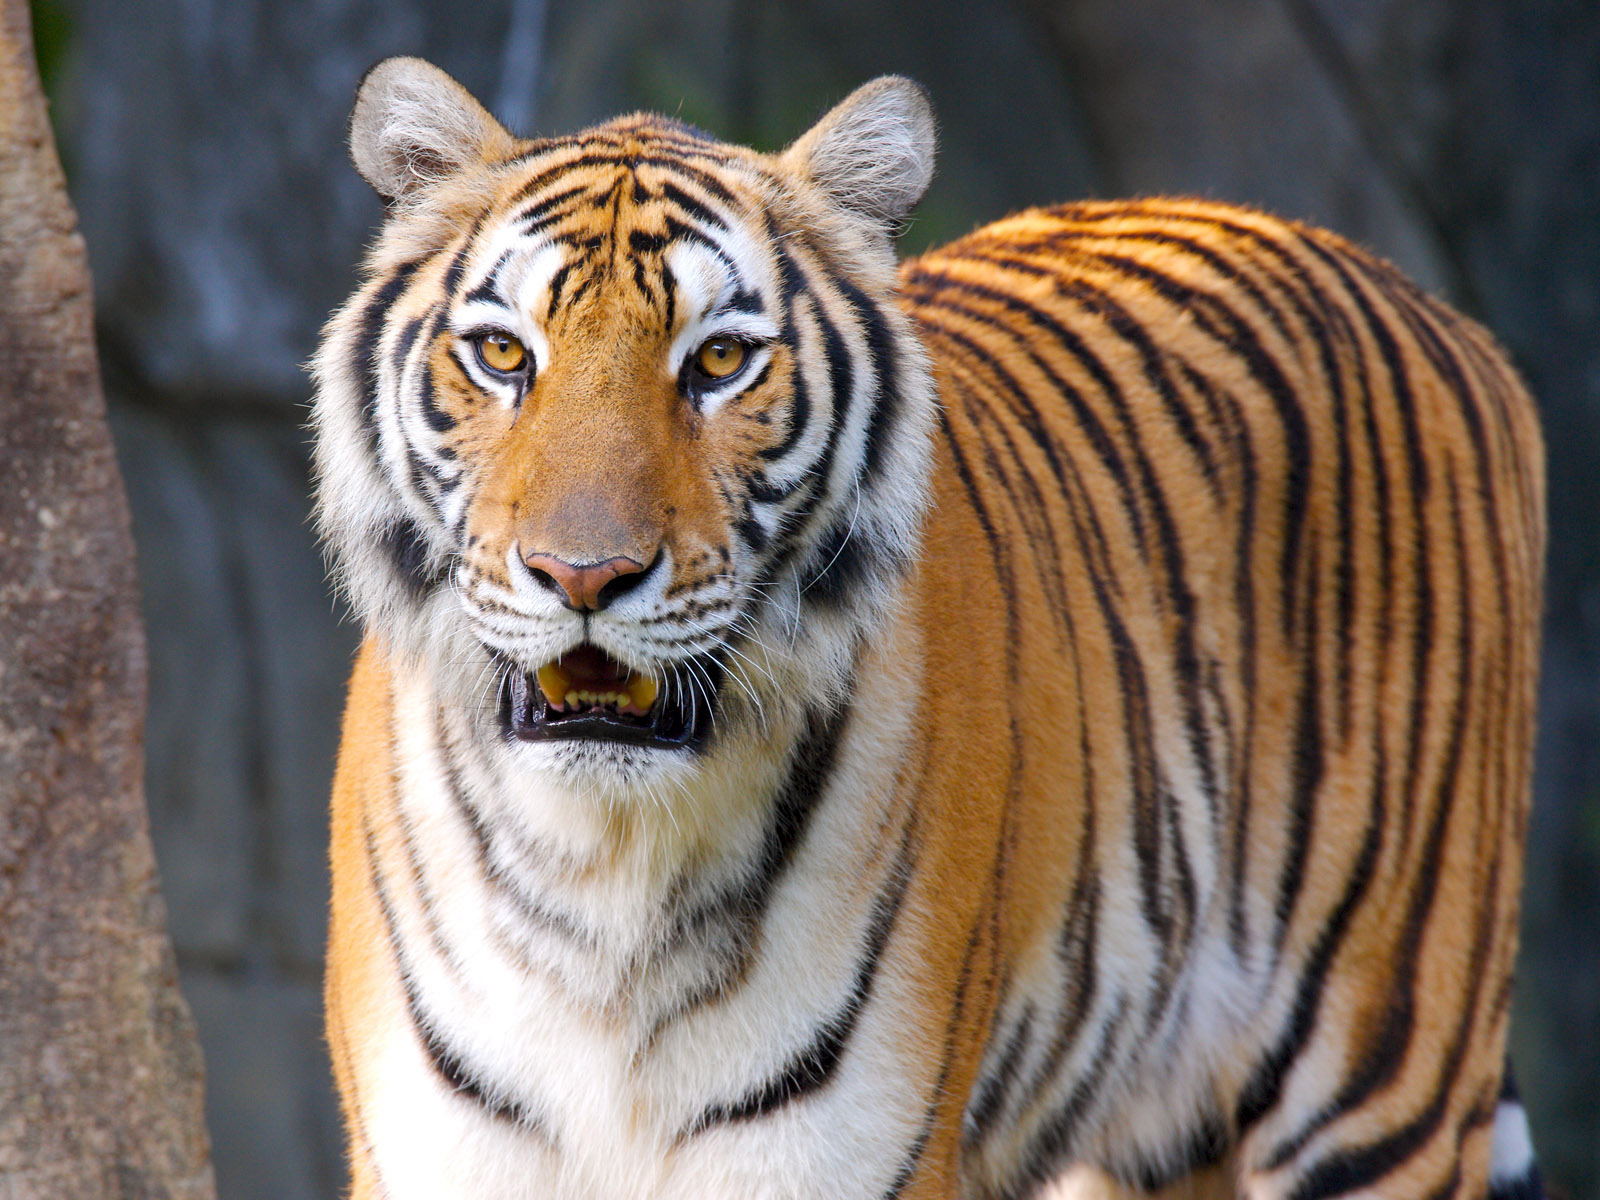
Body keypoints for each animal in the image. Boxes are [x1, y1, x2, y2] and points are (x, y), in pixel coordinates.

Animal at [305, 54, 1542, 1200]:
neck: (602, 870)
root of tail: (1431, 308)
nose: (583, 575)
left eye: (719, 360)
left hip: (1388, 1082)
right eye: (503, 354)